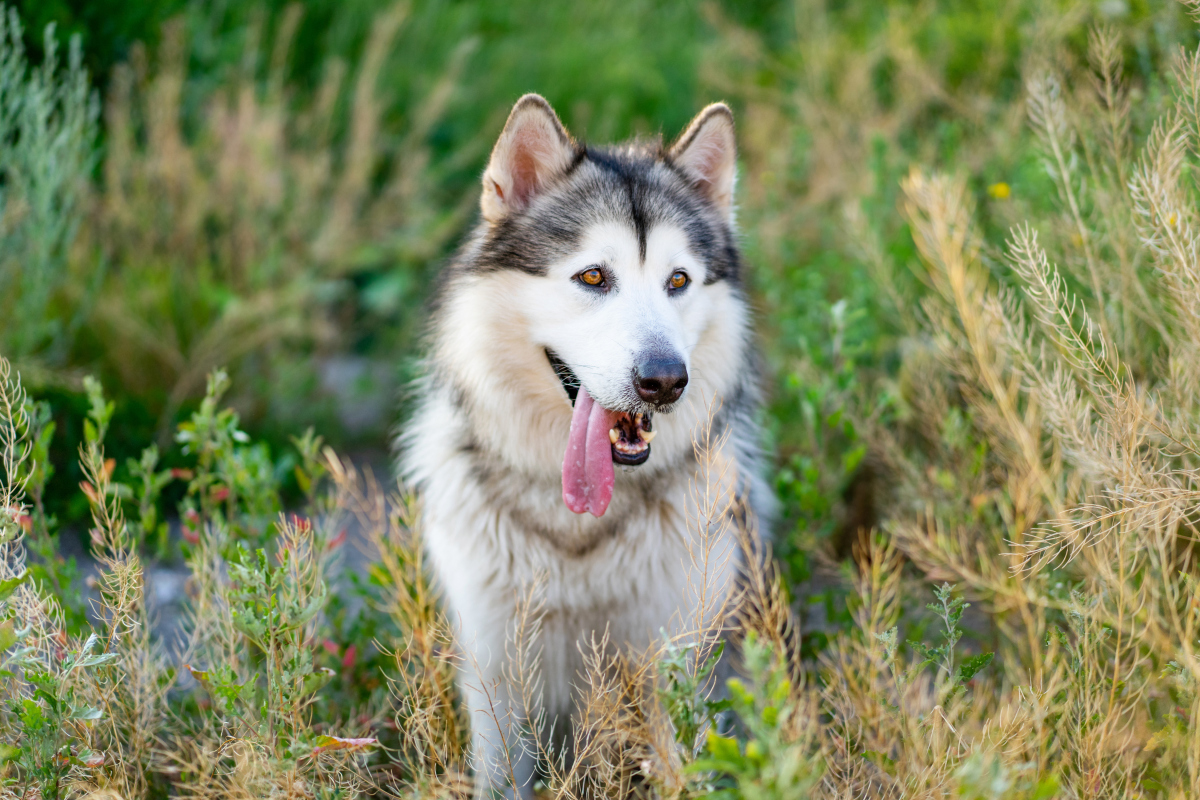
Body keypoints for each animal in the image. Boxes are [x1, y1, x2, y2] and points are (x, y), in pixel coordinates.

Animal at [398, 92, 772, 796]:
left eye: (678, 281)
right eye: (594, 277)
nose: (664, 380)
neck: (581, 534)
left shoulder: (676, 662)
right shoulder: (496, 671)